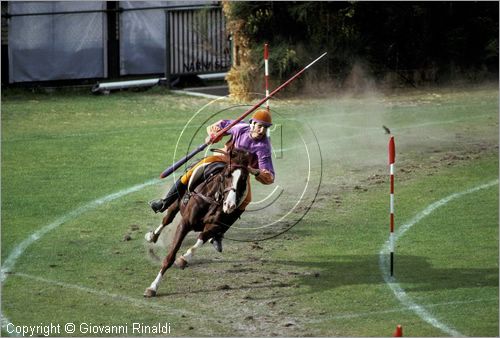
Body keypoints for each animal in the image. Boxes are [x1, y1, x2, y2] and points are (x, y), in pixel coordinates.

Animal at [143, 149, 250, 298]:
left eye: (243, 179)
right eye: (227, 175)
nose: (230, 205)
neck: (213, 199)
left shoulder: (214, 226)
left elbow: (200, 240)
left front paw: (183, 259)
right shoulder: (185, 223)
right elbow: (170, 257)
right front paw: (153, 287)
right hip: (176, 203)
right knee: (167, 219)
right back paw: (153, 235)